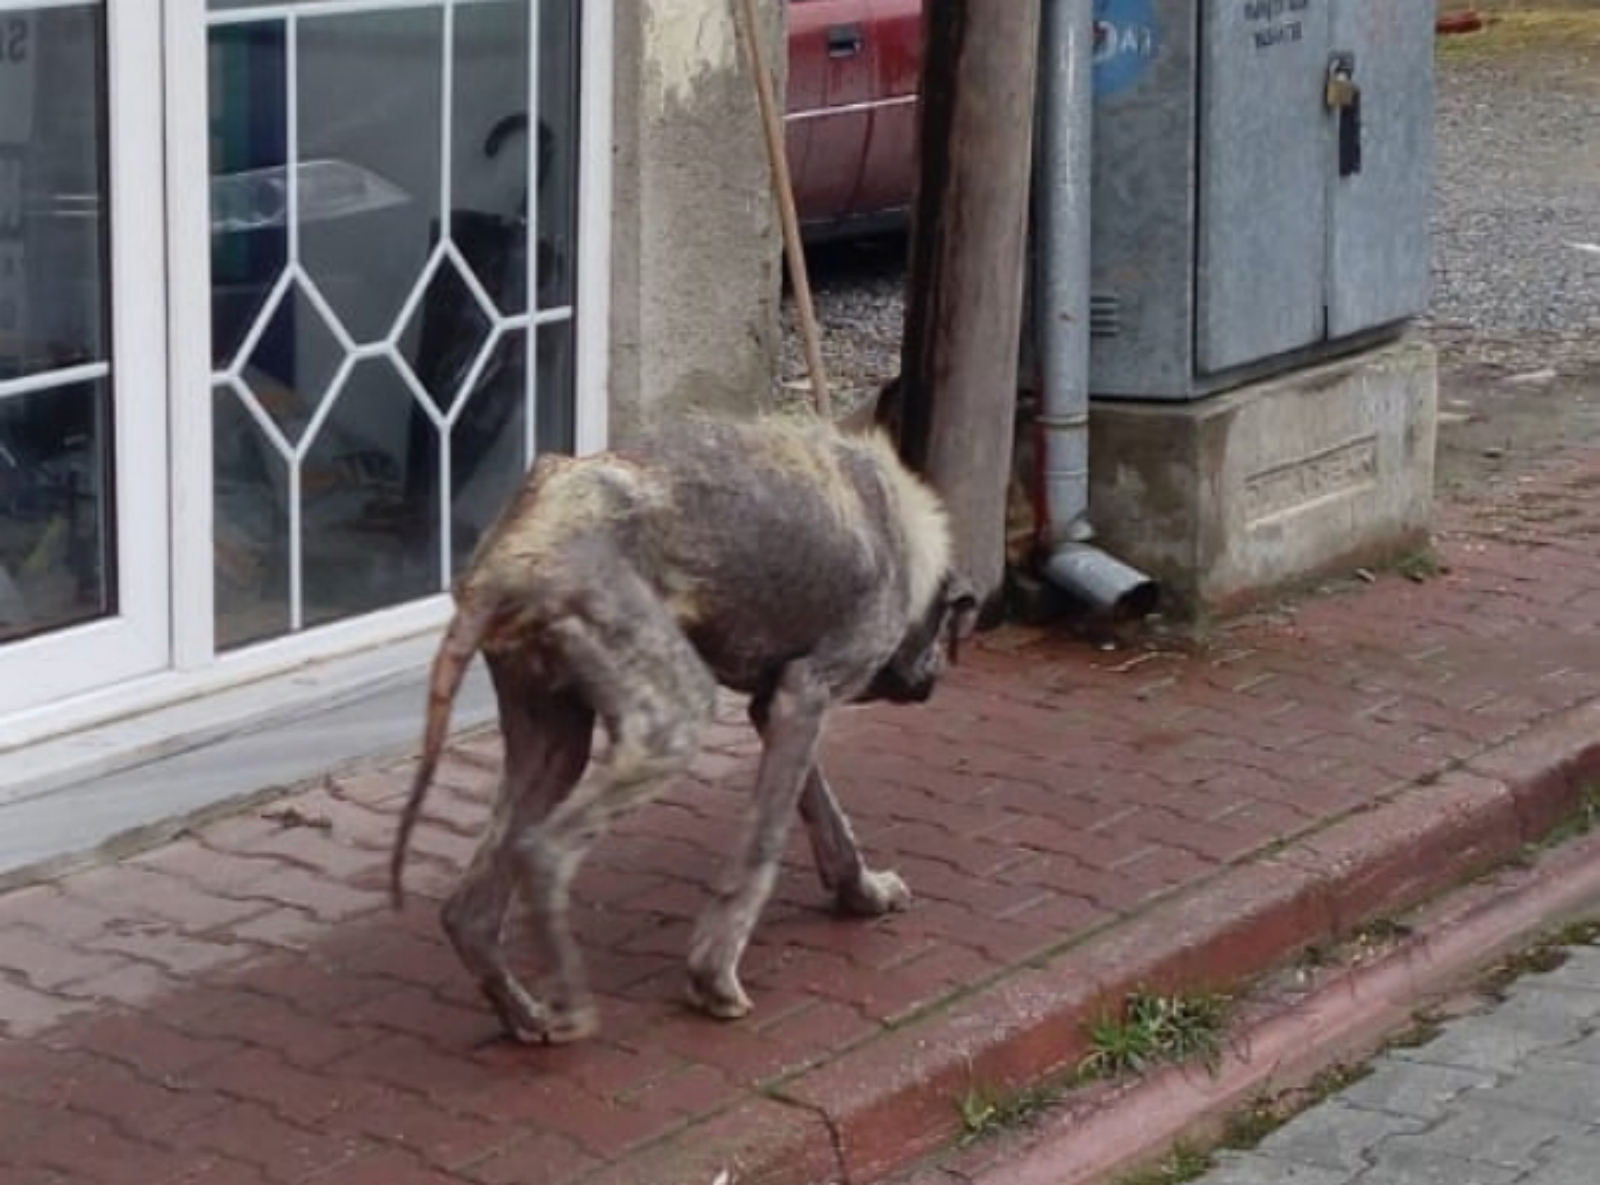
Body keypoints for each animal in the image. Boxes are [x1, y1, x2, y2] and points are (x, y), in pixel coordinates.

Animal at [387, 415, 972, 1042]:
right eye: (945, 627)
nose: (933, 679)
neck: (897, 523)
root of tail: (511, 559)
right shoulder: (806, 695)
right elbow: (761, 850)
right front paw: (714, 977)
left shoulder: (776, 707)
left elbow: (827, 818)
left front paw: (862, 893)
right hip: (672, 721)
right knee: (544, 852)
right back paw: (569, 1002)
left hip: (555, 742)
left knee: (469, 911)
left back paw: (525, 1015)